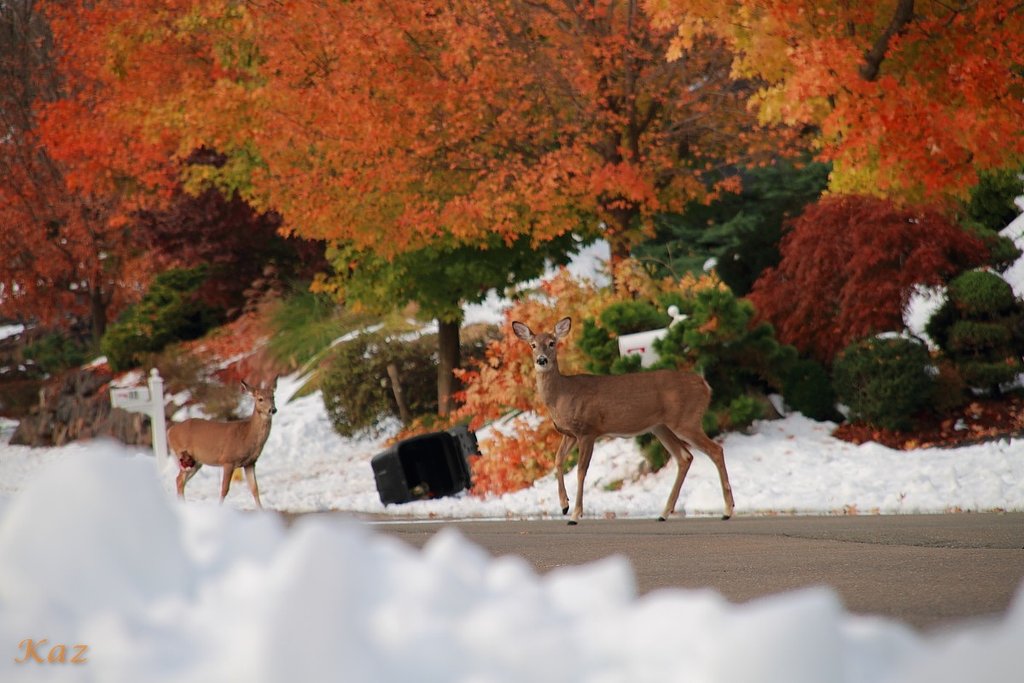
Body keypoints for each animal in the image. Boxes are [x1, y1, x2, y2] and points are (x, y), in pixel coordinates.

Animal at [167, 376, 278, 509]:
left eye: (273, 397)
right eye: (260, 399)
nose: (272, 409)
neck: (246, 435)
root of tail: (170, 431)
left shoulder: (250, 463)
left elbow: (255, 489)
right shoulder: (228, 460)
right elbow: (225, 489)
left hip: (196, 461)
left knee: (179, 480)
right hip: (183, 455)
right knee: (179, 479)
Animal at [512, 317, 734, 525]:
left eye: (552, 343)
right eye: (532, 345)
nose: (541, 360)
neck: (561, 395)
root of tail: (705, 385)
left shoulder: (588, 430)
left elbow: (581, 471)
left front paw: (575, 514)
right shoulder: (570, 434)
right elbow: (557, 460)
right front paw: (564, 505)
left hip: (686, 420)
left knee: (715, 450)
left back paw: (727, 510)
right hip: (660, 427)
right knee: (685, 457)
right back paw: (663, 513)